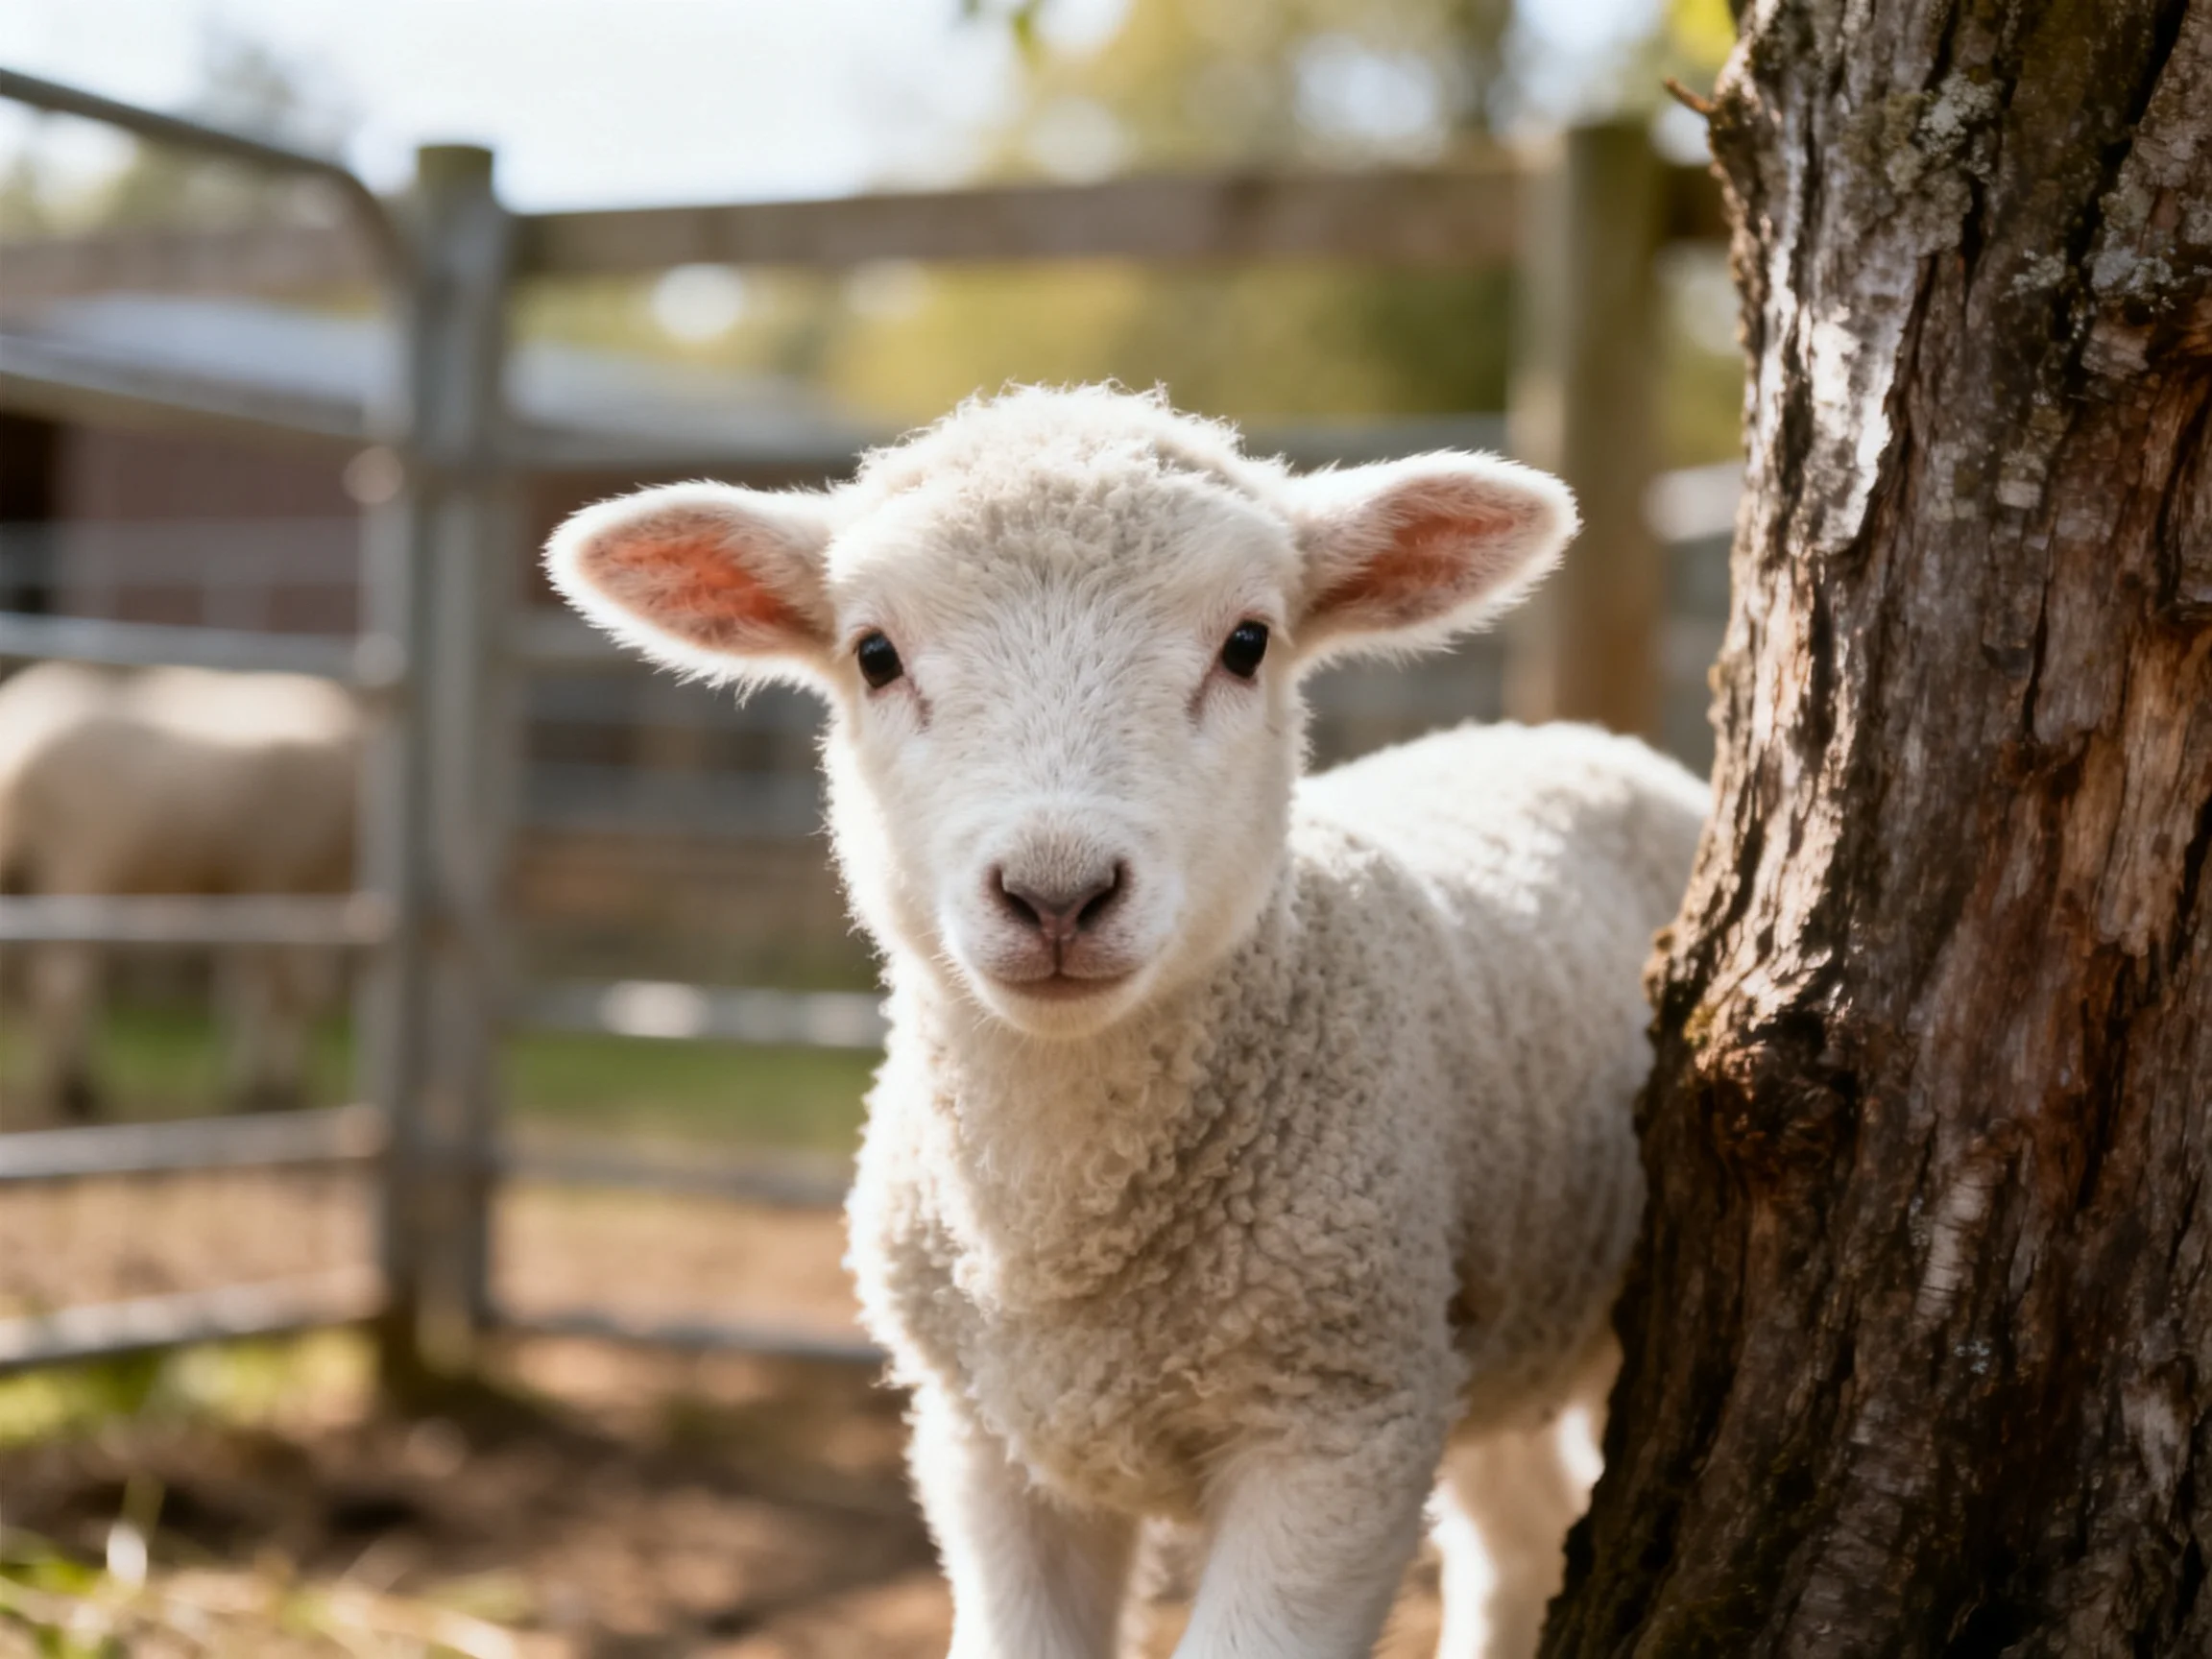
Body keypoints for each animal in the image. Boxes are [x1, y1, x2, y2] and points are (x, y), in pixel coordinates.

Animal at [0, 661, 361, 1125]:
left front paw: (251, 1083)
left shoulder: (263, 888)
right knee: (63, 982)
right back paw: (79, 1092)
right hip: (79, 866)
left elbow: (251, 990)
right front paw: (274, 1088)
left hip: (33, 877)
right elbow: (285, 992)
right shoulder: (276, 878)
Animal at [547, 385, 1709, 1659]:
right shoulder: (982, 1440)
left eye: (1247, 643)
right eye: (875, 655)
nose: (1057, 892)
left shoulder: (1341, 1422)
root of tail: (1574, 738)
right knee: (1519, 1533)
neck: (1073, 1247)